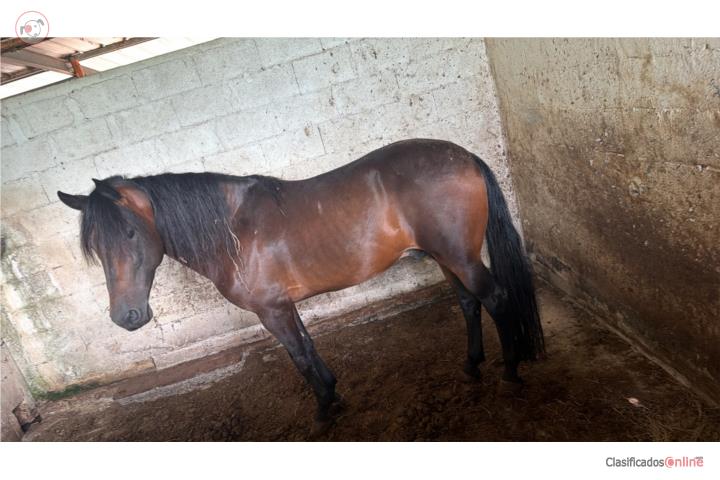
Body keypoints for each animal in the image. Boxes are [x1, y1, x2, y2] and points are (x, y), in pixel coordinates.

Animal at [57, 138, 545, 432]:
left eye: (130, 233)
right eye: (95, 246)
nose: (127, 317)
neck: (232, 231)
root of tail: (464, 157)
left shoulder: (271, 311)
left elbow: (299, 357)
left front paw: (324, 411)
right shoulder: (285, 305)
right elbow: (309, 349)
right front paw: (333, 395)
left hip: (460, 257)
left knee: (496, 299)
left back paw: (510, 372)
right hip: (446, 259)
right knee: (467, 303)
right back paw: (471, 366)